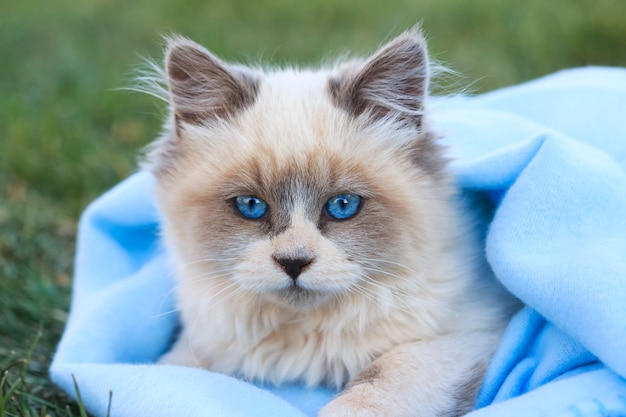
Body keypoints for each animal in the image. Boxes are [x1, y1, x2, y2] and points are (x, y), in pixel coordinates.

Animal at [147, 27, 516, 414]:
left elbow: (380, 380)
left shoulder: (465, 334)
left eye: (342, 206)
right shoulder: (207, 338)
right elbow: (175, 368)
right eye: (251, 206)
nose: (293, 263)